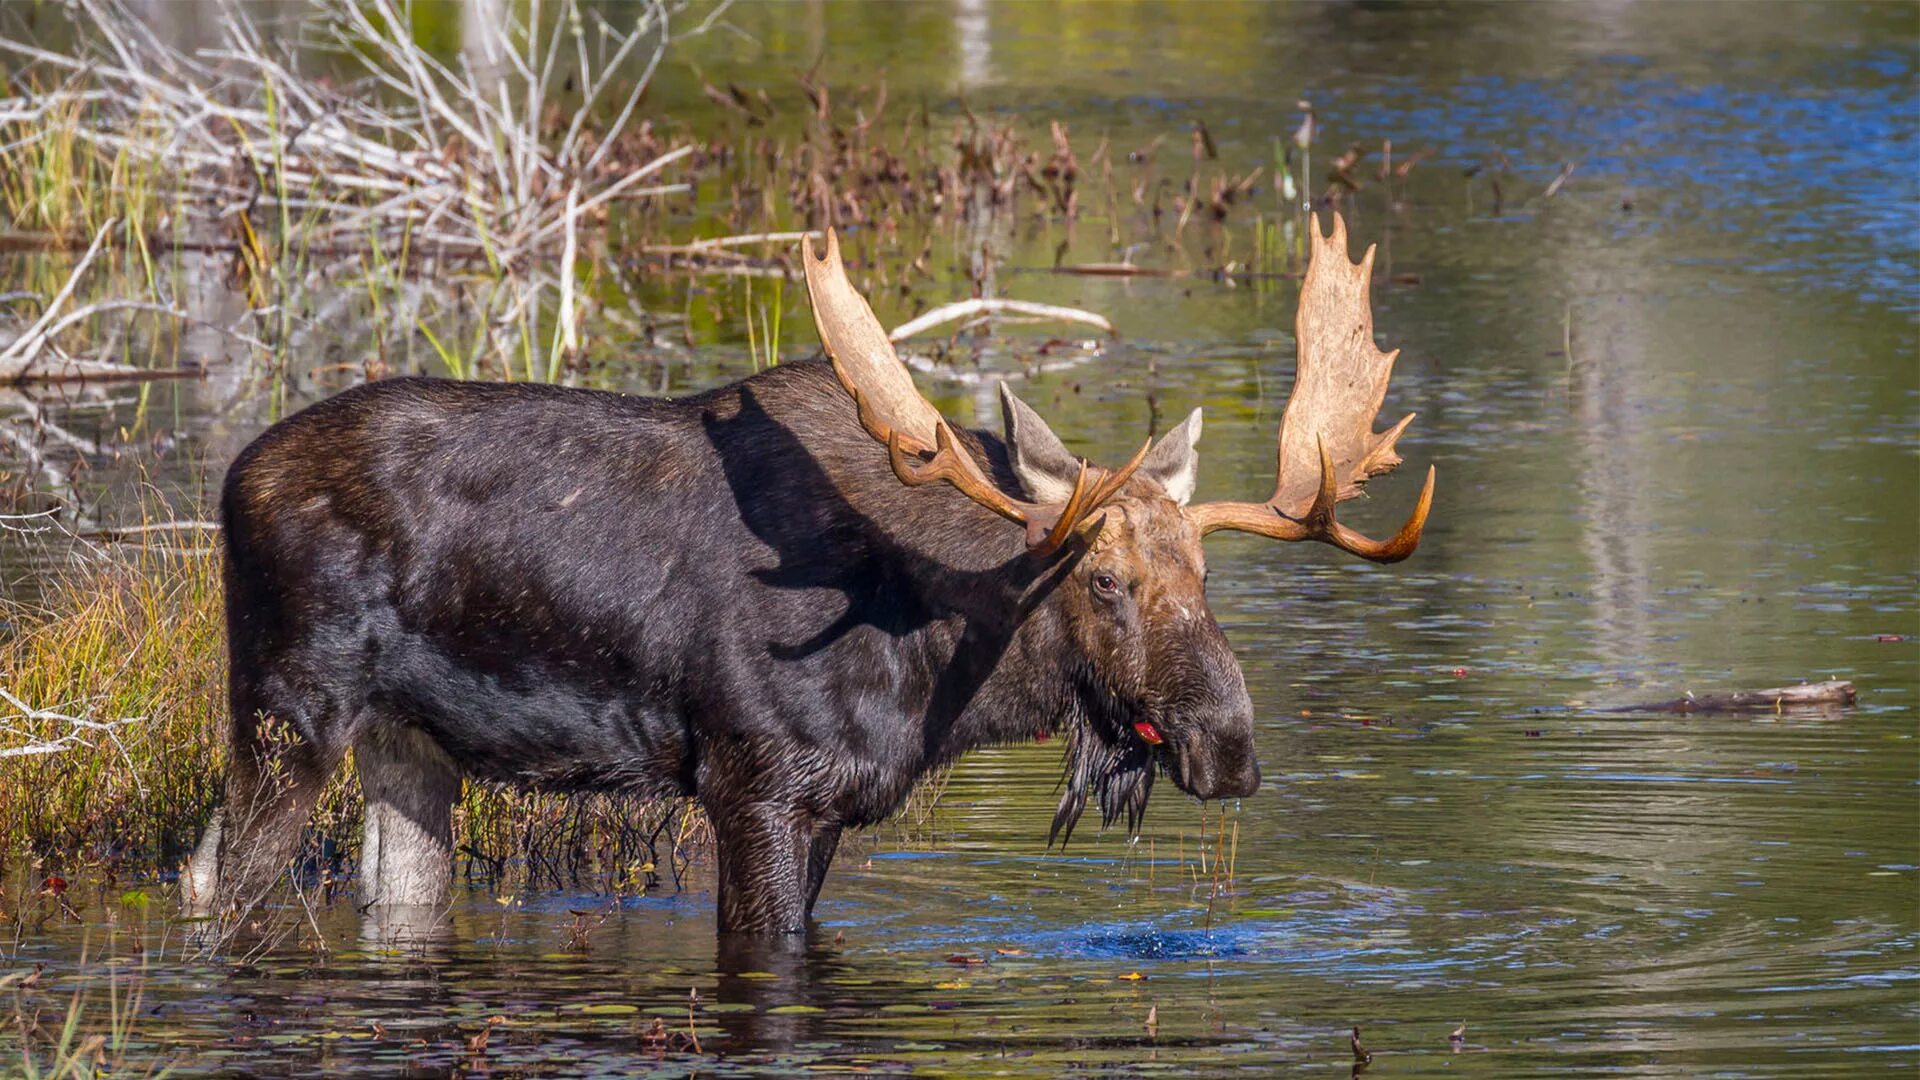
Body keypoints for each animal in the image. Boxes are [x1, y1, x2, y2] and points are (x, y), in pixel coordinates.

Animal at [187, 212, 1436, 933]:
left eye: (1205, 577)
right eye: (1103, 582)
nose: (1230, 747)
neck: (940, 662)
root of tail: (232, 479)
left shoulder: (835, 804)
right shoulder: (755, 784)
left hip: (411, 744)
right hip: (289, 707)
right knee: (220, 877)